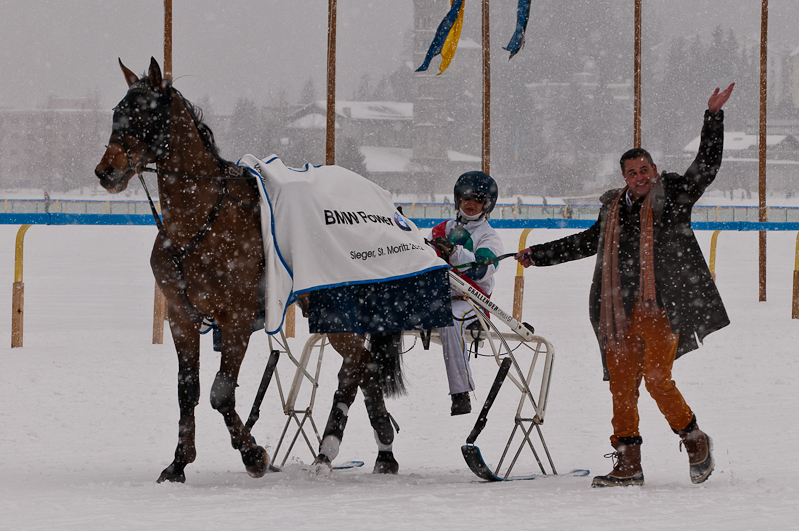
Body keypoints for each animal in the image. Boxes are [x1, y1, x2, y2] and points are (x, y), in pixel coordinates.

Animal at [96, 58, 404, 482]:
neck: (200, 221)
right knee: (364, 364)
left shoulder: (237, 316)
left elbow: (220, 392)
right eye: (117, 113)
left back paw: (339, 447)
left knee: (357, 364)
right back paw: (380, 450)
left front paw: (253, 454)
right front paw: (178, 462)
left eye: (146, 114)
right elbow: (188, 390)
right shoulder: (180, 315)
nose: (105, 171)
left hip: (334, 304)